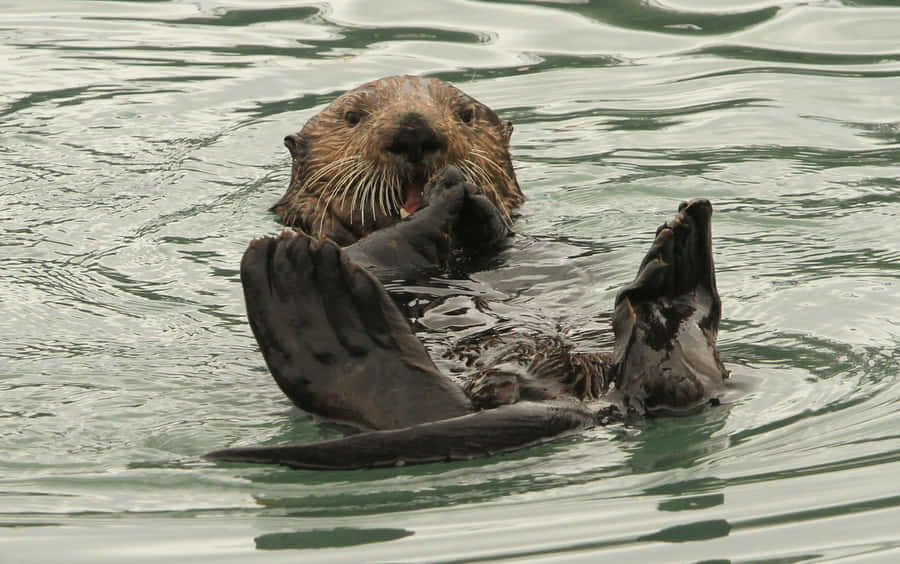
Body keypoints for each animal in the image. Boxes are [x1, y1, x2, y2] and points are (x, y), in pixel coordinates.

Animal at [204, 76, 730, 470]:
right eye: (353, 118)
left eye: (464, 115)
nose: (414, 130)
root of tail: (587, 401)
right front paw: (442, 205)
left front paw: (474, 200)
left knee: (678, 384)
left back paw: (674, 284)